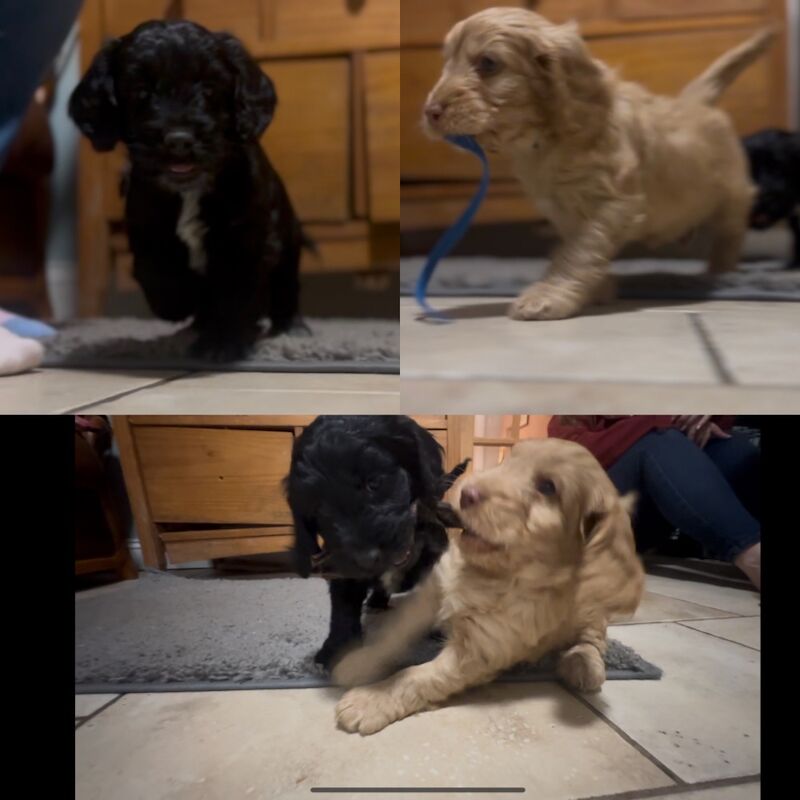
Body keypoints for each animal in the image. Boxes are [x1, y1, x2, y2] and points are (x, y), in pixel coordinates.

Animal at [70, 20, 306, 358]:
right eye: (141, 92)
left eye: (209, 89)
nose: (179, 140)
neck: (189, 192)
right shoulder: (147, 229)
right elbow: (159, 272)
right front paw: (180, 305)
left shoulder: (247, 237)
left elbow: (236, 292)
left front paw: (222, 345)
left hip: (288, 239)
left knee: (285, 286)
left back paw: (290, 329)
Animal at [286, 416, 468, 664]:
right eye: (318, 509)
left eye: (374, 482)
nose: (366, 558)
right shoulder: (343, 567)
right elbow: (343, 606)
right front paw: (338, 648)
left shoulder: (433, 550)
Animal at [422, 9, 772, 320]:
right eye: (446, 61)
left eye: (488, 63)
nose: (430, 111)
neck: (546, 141)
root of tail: (696, 100)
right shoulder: (562, 209)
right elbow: (577, 247)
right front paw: (596, 289)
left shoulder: (615, 202)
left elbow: (580, 250)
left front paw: (548, 296)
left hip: (733, 194)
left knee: (730, 232)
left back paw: (722, 272)